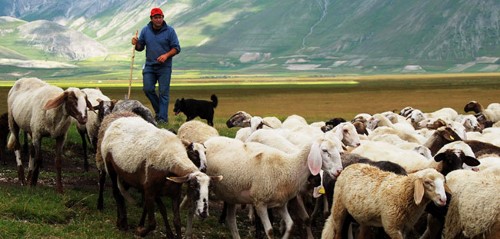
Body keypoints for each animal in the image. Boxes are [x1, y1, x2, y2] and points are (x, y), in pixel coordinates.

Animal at [204, 134, 344, 239]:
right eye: (325, 150)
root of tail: (210, 140)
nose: (339, 171)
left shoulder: (281, 203)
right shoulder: (260, 202)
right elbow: (270, 231)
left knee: (231, 221)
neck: (289, 167)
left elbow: (290, 225)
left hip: (231, 194)